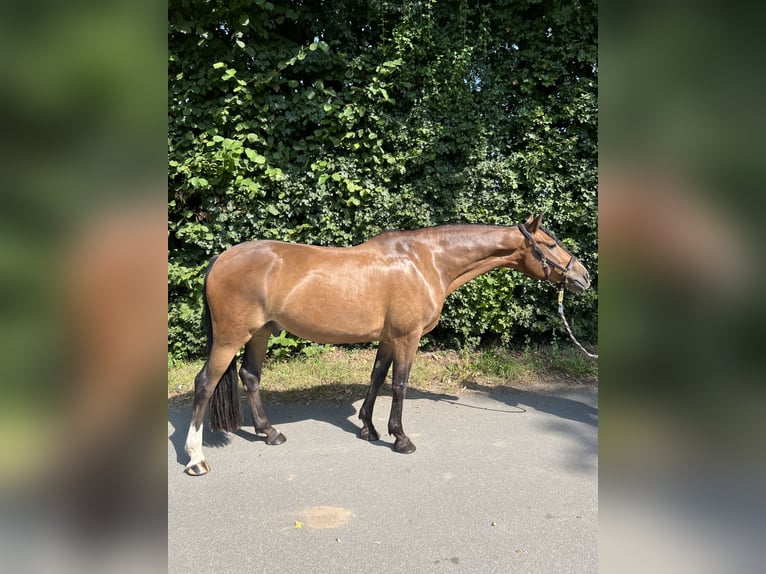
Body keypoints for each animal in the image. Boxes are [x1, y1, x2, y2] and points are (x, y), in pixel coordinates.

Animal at [186, 216, 592, 476]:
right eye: (550, 244)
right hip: (231, 337)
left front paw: (368, 428)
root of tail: (221, 259)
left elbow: (377, 377)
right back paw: (195, 458)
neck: (425, 261)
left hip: (261, 333)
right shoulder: (406, 338)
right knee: (205, 384)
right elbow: (398, 384)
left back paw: (269, 433)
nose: (584, 276)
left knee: (250, 376)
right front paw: (400, 438)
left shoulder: (386, 338)